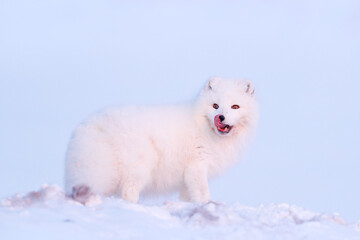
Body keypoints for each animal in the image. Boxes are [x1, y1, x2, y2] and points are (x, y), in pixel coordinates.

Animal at [64, 78, 258, 203]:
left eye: (235, 106)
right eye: (215, 106)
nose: (221, 117)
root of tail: (93, 125)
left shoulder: (188, 176)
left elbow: (189, 196)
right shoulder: (197, 164)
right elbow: (203, 193)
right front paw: (207, 205)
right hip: (140, 167)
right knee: (128, 191)